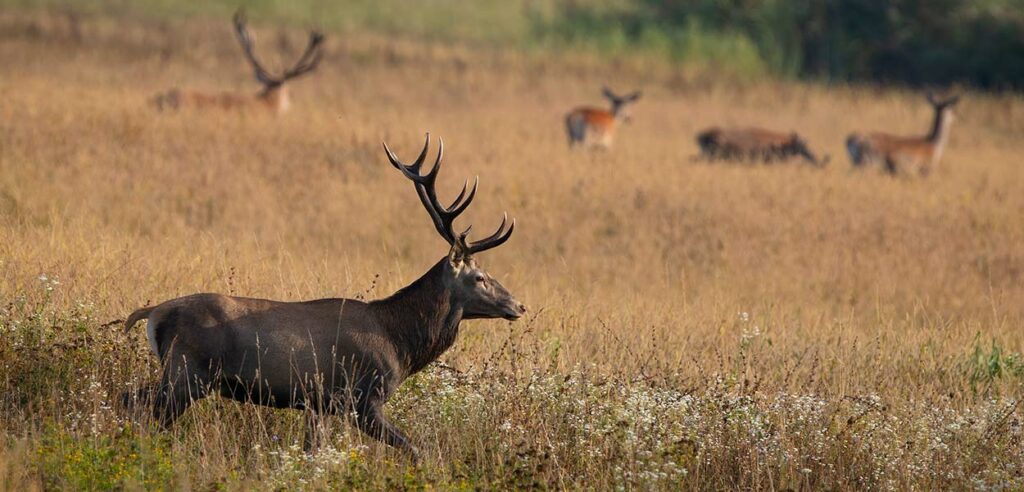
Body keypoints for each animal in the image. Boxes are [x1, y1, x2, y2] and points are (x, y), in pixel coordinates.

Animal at [124, 135, 528, 461]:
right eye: (480, 277)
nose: (519, 305)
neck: (400, 342)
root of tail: (153, 313)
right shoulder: (361, 397)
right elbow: (416, 449)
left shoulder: (316, 404)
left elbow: (311, 452)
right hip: (185, 372)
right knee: (138, 408)